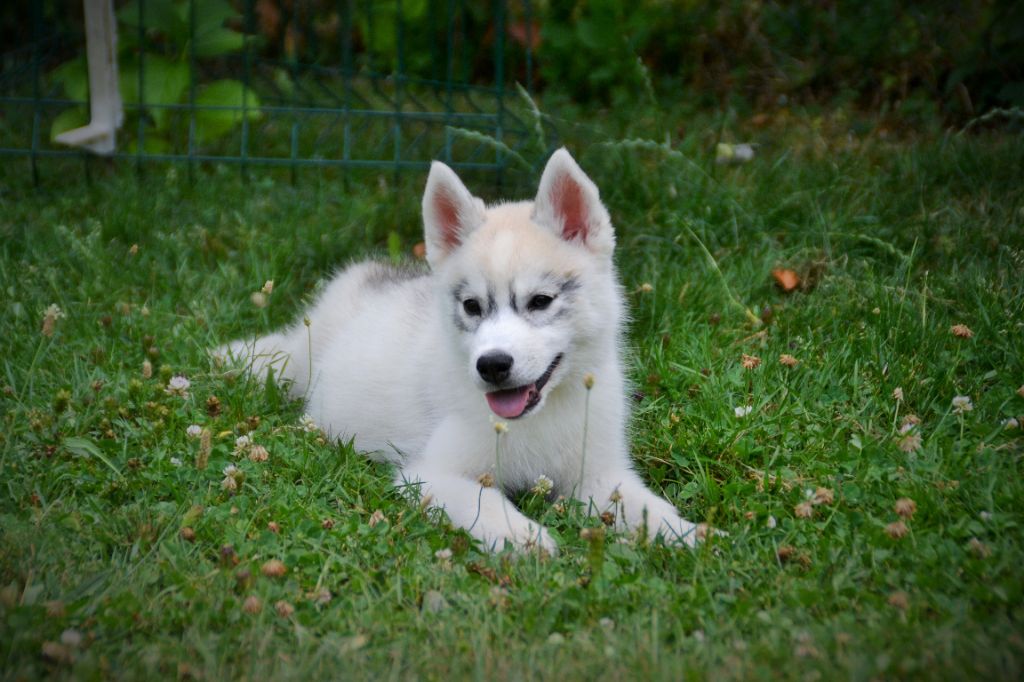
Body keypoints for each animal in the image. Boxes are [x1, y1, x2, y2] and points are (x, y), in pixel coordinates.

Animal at [220, 149, 703, 553]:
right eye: (472, 306)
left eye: (541, 301)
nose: (492, 365)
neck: (539, 419)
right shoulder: (429, 474)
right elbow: (485, 502)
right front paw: (524, 537)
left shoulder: (600, 473)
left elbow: (643, 505)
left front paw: (684, 533)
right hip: (301, 362)